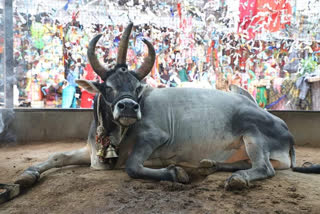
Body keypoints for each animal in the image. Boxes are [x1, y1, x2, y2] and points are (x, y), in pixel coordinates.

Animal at [14, 22, 318, 191]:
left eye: (138, 87)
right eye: (107, 87)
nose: (128, 107)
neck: (112, 136)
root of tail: (285, 129)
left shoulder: (154, 137)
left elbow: (133, 166)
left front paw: (174, 172)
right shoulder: (89, 152)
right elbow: (57, 156)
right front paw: (29, 174)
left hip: (252, 131)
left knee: (264, 168)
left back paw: (237, 179)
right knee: (246, 163)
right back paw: (210, 165)